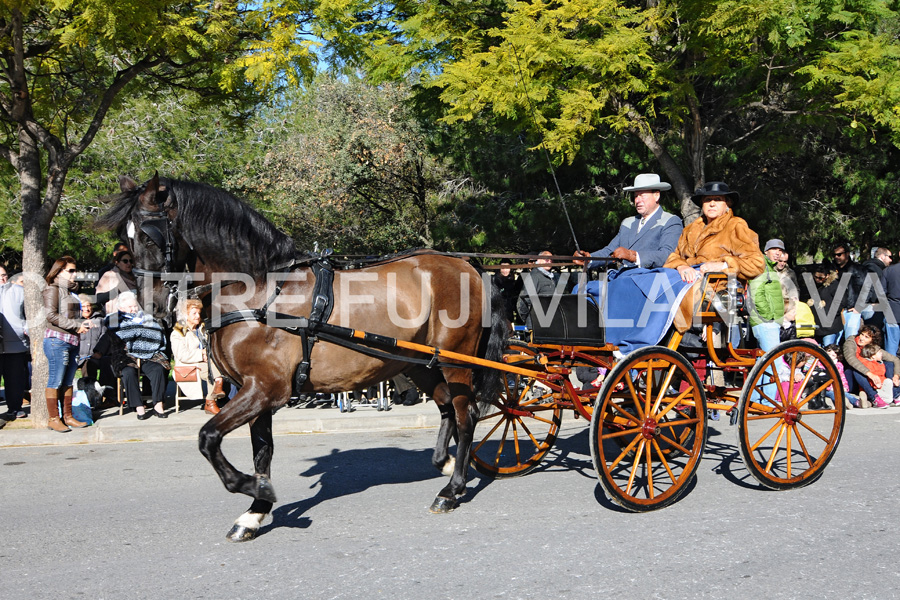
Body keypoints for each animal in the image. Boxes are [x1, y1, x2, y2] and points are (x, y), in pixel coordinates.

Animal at [99, 171, 510, 540]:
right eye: (126, 238)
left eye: (149, 235)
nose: (150, 304)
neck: (257, 290)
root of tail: (467, 265)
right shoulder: (255, 393)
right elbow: (261, 452)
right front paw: (255, 512)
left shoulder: (266, 389)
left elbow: (208, 437)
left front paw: (255, 489)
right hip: (420, 363)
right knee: (446, 408)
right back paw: (445, 463)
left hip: (456, 360)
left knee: (467, 415)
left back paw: (452, 488)